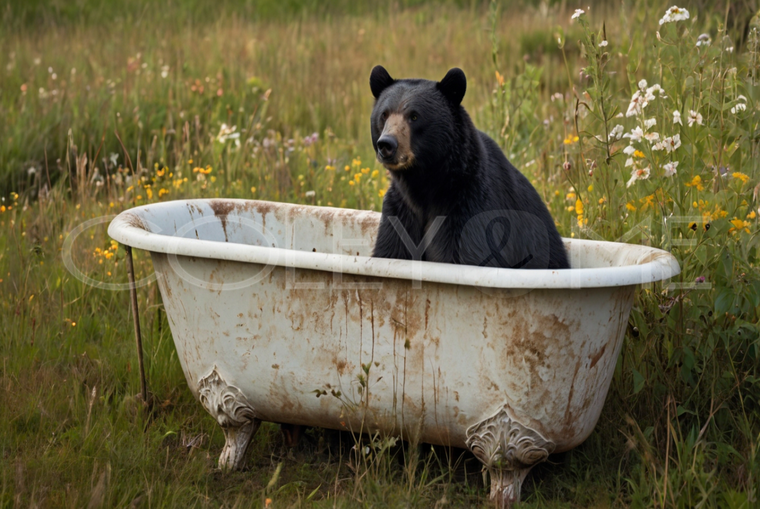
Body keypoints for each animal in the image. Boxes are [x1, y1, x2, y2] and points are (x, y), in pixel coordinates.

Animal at [369, 65, 570, 270]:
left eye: (414, 116)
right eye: (384, 115)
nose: (386, 144)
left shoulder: (470, 207)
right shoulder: (400, 209)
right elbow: (392, 248)